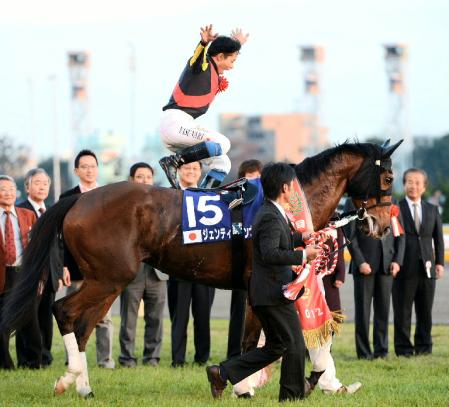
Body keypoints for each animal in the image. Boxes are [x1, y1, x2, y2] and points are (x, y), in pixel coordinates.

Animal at [0, 140, 400, 398]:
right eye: (388, 179)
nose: (381, 224)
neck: (290, 203)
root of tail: (79, 199)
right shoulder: (264, 282)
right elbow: (255, 339)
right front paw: (242, 385)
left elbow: (308, 334)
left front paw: (330, 382)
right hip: (111, 276)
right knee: (64, 312)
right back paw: (69, 379)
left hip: (106, 279)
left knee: (82, 325)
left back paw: (81, 385)